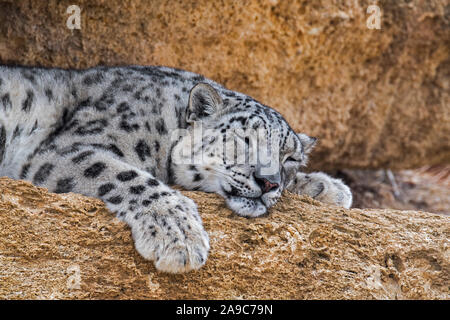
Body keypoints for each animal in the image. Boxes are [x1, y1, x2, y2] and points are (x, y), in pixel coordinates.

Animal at [0, 64, 352, 272]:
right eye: (245, 138)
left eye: (290, 159)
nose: (268, 182)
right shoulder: (68, 148)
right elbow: (126, 175)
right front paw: (178, 235)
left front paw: (330, 188)